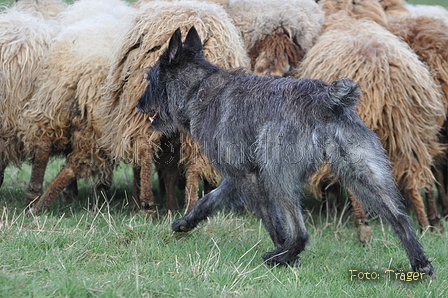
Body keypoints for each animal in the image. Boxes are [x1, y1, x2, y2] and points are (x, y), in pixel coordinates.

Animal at [136, 27, 434, 274]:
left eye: (150, 78)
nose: (139, 104)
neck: (198, 88)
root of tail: (324, 99)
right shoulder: (239, 175)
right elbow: (207, 200)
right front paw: (186, 222)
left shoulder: (250, 177)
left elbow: (272, 221)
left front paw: (287, 254)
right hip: (363, 175)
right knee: (400, 218)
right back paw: (420, 263)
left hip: (278, 176)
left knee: (300, 232)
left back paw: (280, 256)